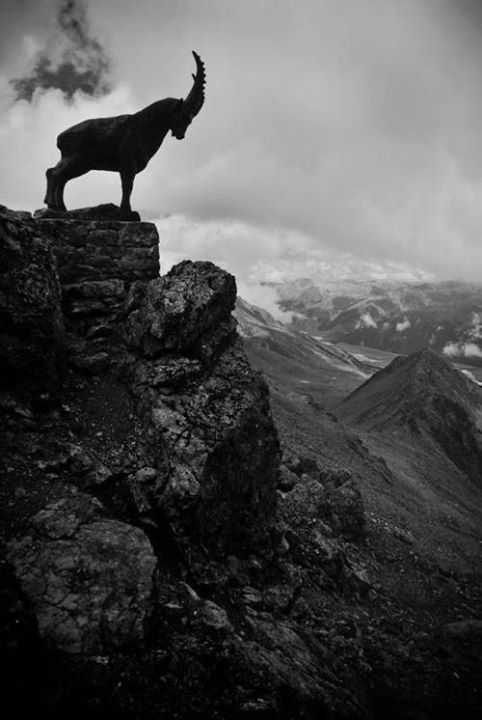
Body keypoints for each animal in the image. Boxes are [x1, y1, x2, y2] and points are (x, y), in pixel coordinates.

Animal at [42, 52, 205, 212]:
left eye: (190, 120)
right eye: (183, 116)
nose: (181, 135)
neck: (145, 125)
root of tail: (60, 138)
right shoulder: (127, 161)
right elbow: (127, 185)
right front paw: (126, 210)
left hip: (81, 164)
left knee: (61, 178)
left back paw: (61, 208)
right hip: (77, 159)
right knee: (52, 173)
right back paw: (52, 205)